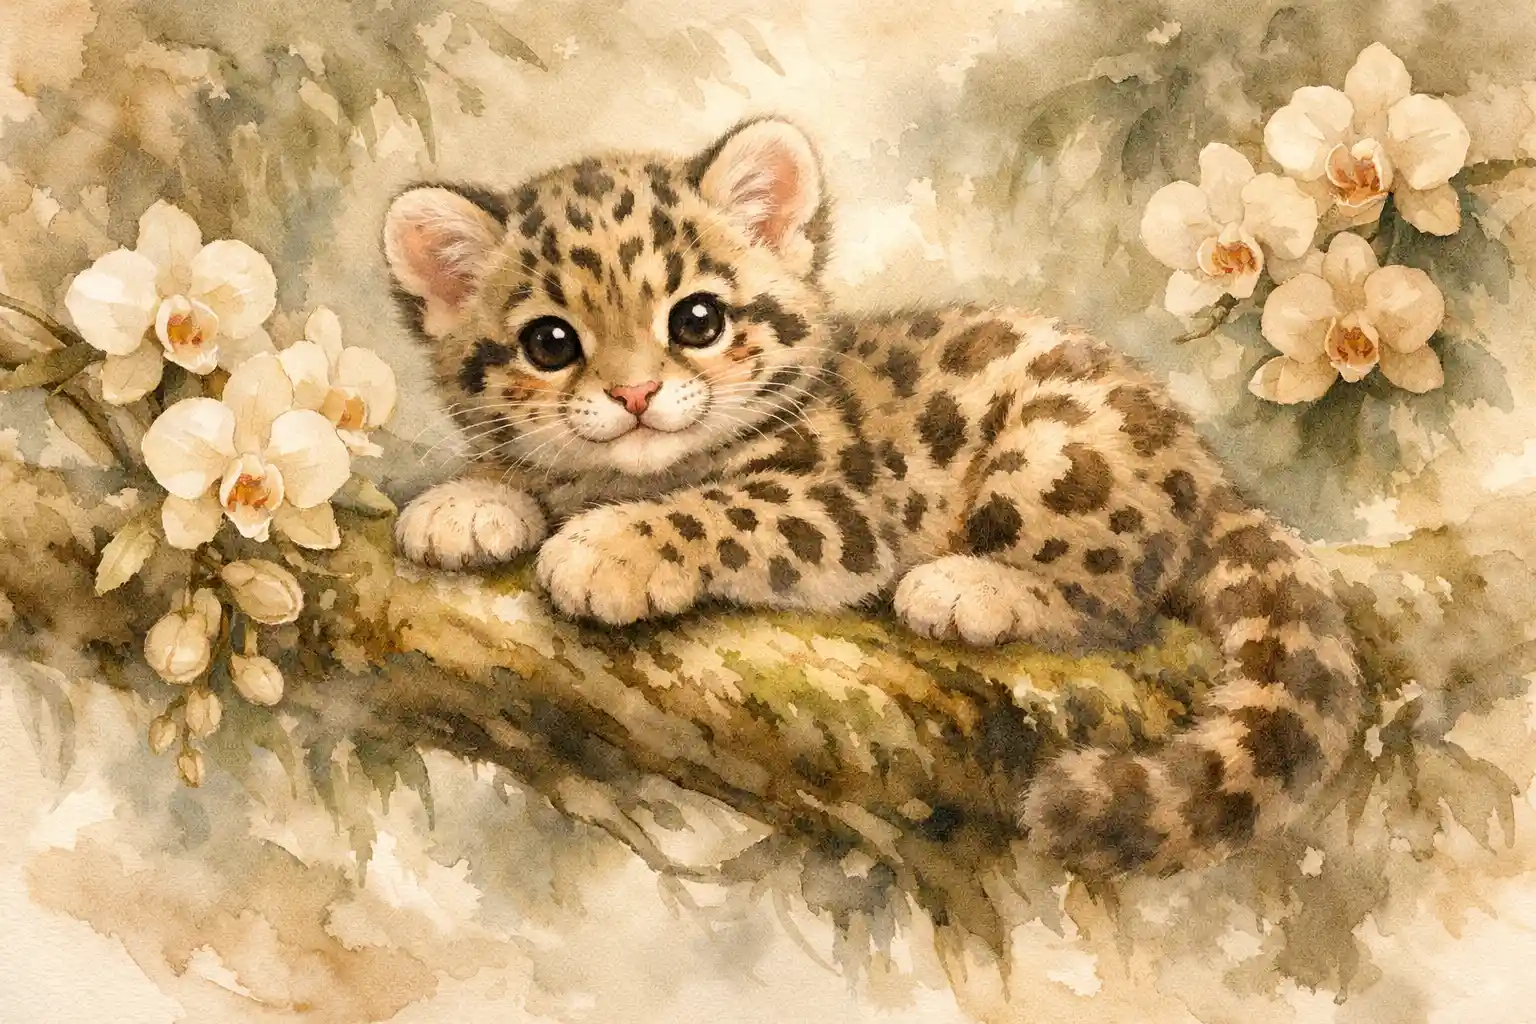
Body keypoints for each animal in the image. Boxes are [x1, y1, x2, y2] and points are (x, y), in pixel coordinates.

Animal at [382, 117, 1366, 877]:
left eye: (697, 319)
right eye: (550, 342)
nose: (634, 395)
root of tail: (1208, 471)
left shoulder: (835, 505)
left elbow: (716, 510)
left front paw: (606, 549)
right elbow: (525, 470)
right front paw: (467, 504)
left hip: (1057, 449)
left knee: (1110, 594)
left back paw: (967, 587)